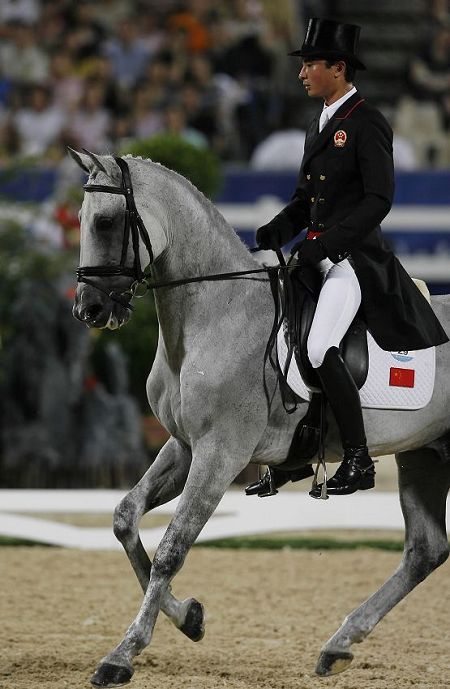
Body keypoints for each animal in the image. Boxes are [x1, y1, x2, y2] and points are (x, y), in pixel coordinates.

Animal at [68, 150, 448, 688]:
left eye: (105, 221)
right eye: (81, 219)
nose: (90, 309)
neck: (215, 315)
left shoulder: (221, 453)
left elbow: (172, 547)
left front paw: (123, 654)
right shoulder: (185, 446)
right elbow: (126, 518)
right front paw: (189, 618)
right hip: (424, 454)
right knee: (425, 550)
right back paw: (338, 645)